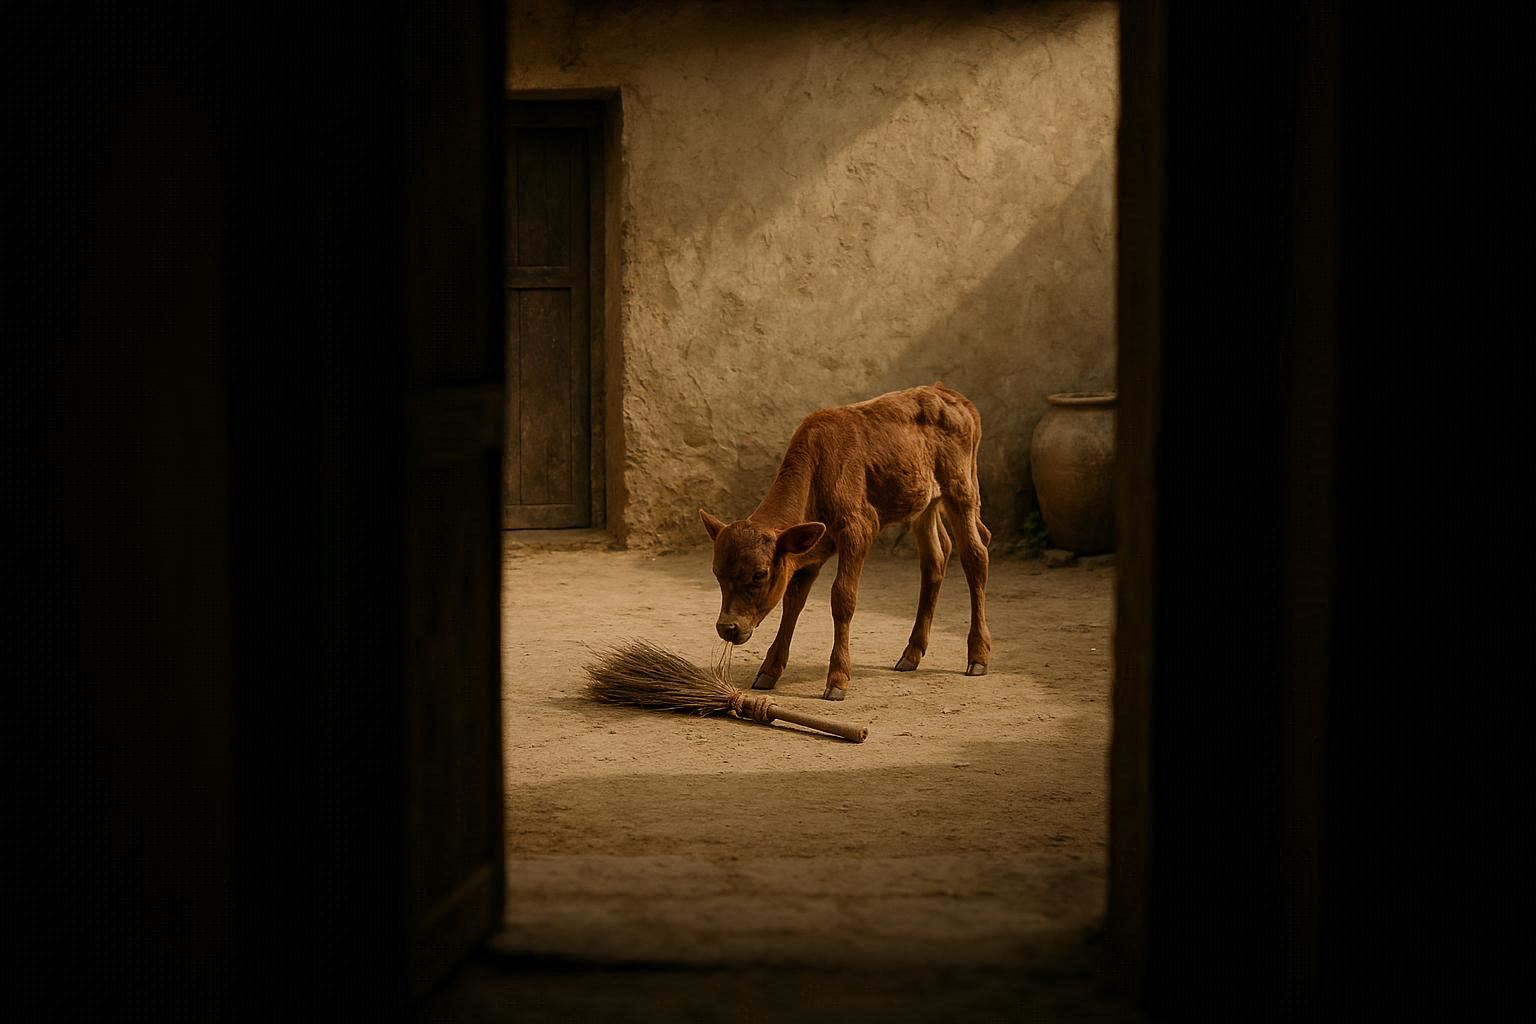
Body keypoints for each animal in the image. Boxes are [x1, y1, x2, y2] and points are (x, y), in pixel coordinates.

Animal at [699, 382, 992, 701]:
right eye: (716, 573)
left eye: (758, 574)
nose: (727, 627)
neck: (818, 471)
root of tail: (950, 395)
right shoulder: (810, 551)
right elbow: (793, 600)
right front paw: (769, 670)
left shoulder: (858, 529)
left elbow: (842, 597)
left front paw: (837, 679)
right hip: (924, 503)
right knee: (935, 559)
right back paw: (911, 654)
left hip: (960, 489)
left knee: (975, 555)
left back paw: (978, 656)